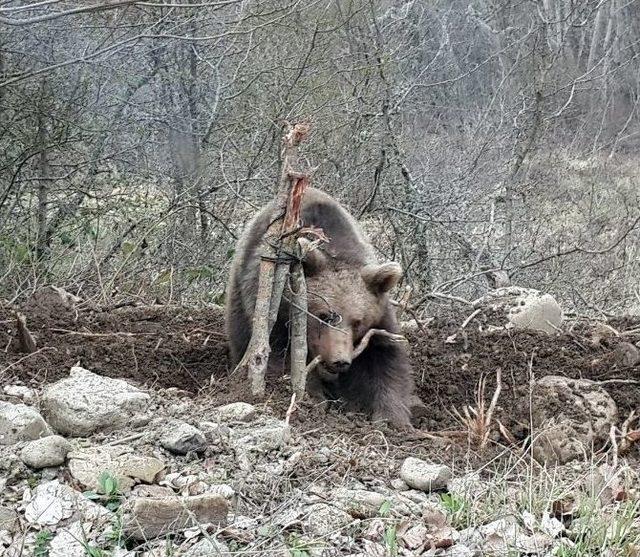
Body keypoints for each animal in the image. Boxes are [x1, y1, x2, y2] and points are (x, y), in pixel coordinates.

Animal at [225, 187, 416, 426]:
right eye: (324, 315)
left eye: (358, 322)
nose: (340, 360)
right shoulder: (278, 315)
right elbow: (282, 357)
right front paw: (312, 399)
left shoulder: (379, 322)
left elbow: (385, 361)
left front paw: (392, 419)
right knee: (241, 333)